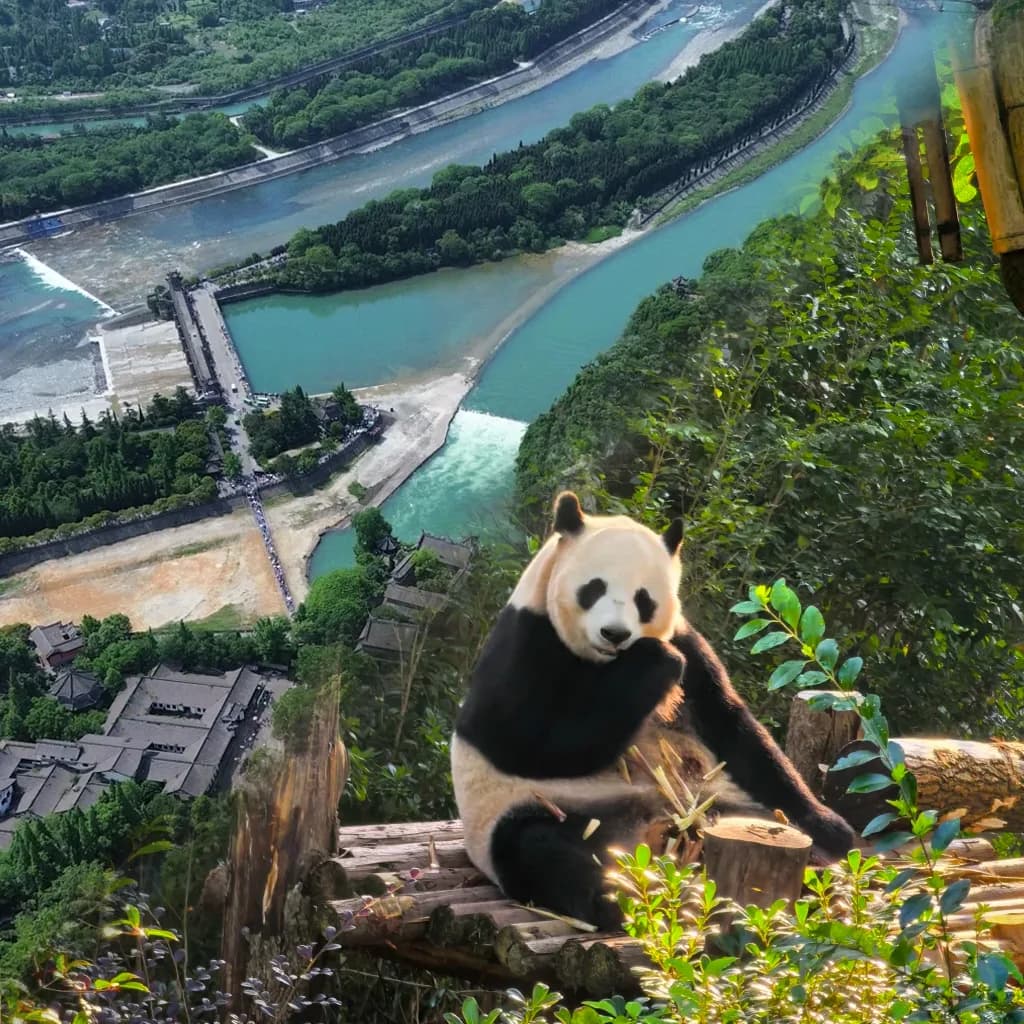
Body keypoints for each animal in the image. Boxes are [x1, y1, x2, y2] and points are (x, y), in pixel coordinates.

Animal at [450, 491, 855, 930]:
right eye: (594, 588)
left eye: (643, 599)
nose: (615, 633)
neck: (606, 662)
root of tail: (650, 832)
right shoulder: (526, 641)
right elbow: (525, 742)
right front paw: (654, 663)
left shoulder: (688, 643)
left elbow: (733, 727)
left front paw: (830, 827)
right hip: (536, 810)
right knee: (536, 846)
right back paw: (616, 898)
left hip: (717, 804)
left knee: (764, 820)